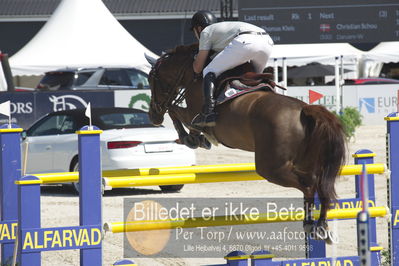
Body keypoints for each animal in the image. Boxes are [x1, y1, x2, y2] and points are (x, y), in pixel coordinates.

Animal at [147, 43, 346, 243]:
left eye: (150, 80)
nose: (153, 117)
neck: (192, 74)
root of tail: (305, 109)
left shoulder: (192, 113)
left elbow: (173, 110)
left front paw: (191, 138)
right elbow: (176, 112)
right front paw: (198, 139)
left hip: (271, 169)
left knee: (309, 186)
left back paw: (310, 224)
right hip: (305, 164)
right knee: (319, 185)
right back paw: (321, 226)